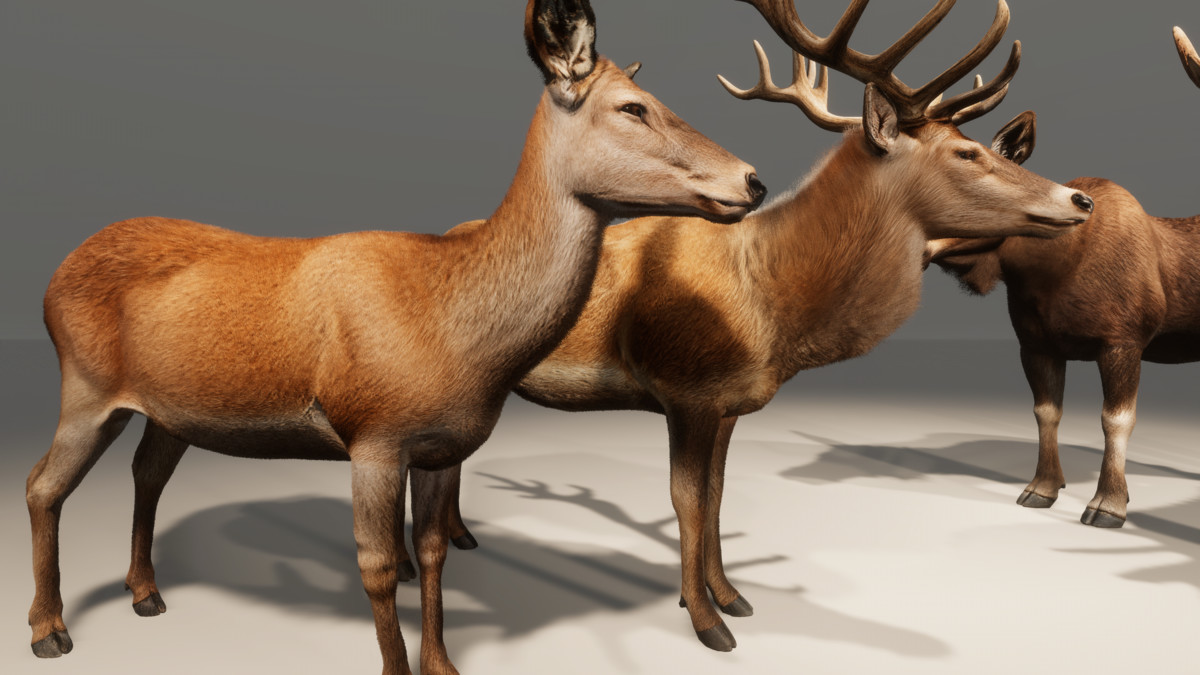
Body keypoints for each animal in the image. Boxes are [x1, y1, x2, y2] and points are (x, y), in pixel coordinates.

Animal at [24, 1, 767, 672]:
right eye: (633, 107)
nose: (752, 179)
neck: (457, 329)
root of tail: (53, 277)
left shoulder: (439, 445)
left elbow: (433, 551)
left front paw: (443, 663)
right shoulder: (373, 434)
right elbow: (379, 565)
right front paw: (397, 665)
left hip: (167, 409)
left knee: (145, 472)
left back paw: (145, 592)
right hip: (85, 387)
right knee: (41, 485)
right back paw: (49, 629)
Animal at [414, 0, 1097, 654]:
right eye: (967, 152)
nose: (1078, 199)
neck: (770, 310)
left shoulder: (729, 402)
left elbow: (717, 496)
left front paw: (731, 595)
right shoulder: (684, 387)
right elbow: (686, 500)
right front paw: (707, 621)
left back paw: (462, 534)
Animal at [926, 26, 1200, 531]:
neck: (1047, 274)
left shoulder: (1123, 341)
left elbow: (1116, 420)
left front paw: (1108, 503)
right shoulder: (1036, 343)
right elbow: (1045, 412)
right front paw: (1042, 488)